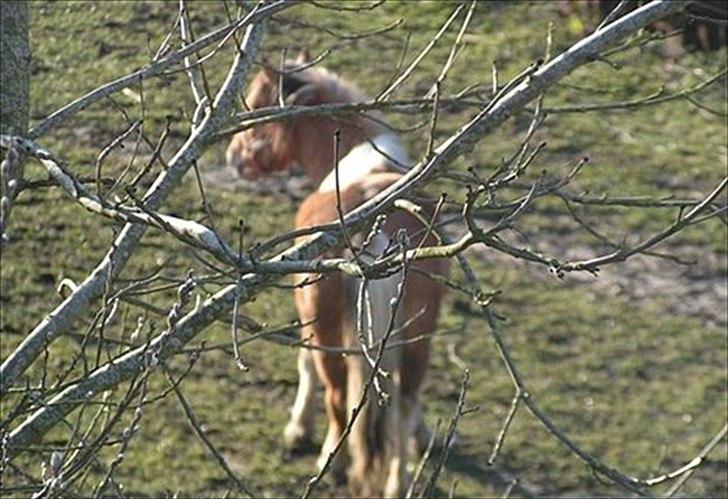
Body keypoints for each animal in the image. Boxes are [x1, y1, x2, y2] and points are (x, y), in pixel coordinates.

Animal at [229, 50, 450, 496]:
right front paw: (424, 439)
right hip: (418, 335)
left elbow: (305, 365)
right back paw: (397, 482)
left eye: (259, 107)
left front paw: (297, 429)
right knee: (404, 403)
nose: (233, 157)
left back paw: (331, 461)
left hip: (329, 331)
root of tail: (378, 232)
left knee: (336, 395)